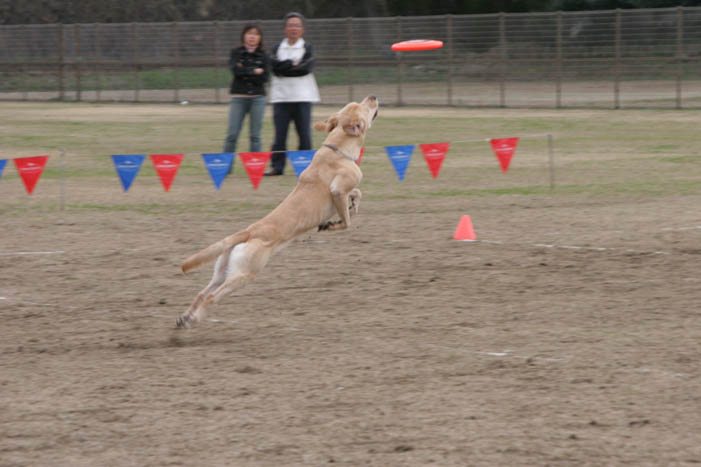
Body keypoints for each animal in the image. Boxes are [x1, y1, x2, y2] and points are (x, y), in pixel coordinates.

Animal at [178, 95, 380, 330]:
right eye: (363, 107)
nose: (373, 97)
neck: (337, 149)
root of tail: (248, 232)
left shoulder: (345, 190)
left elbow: (357, 195)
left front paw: (353, 204)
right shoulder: (337, 190)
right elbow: (347, 221)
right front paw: (331, 224)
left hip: (223, 272)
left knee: (202, 293)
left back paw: (185, 317)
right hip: (245, 274)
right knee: (211, 297)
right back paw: (194, 319)